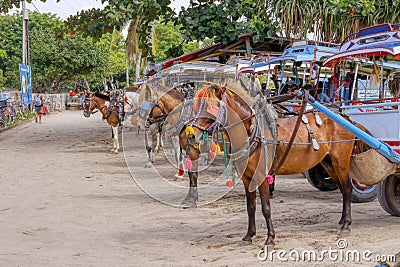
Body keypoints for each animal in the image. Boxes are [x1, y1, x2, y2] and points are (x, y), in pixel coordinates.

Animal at [184, 84, 366, 247]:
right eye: (195, 106)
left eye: (212, 107)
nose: (191, 136)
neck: (252, 133)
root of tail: (345, 118)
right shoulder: (247, 178)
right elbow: (251, 207)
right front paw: (249, 236)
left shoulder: (261, 177)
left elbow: (266, 208)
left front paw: (270, 238)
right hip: (328, 163)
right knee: (342, 189)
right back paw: (342, 220)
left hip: (340, 162)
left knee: (347, 189)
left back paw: (346, 225)